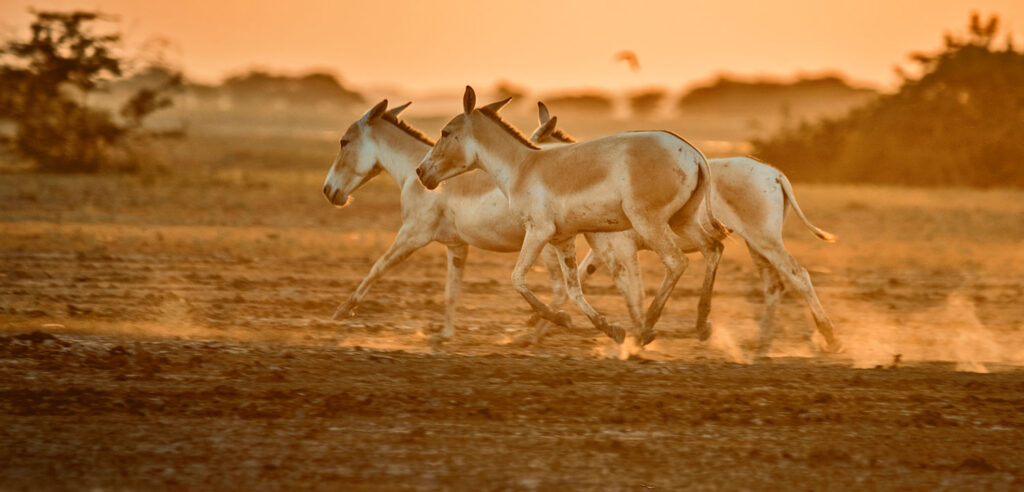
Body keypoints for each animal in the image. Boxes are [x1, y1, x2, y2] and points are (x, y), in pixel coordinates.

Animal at [417, 86, 729, 344]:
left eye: (445, 132)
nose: (421, 172)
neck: (522, 168)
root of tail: (693, 152)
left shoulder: (538, 231)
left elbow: (517, 278)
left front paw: (559, 319)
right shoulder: (562, 238)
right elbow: (572, 288)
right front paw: (609, 328)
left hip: (649, 221)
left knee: (677, 262)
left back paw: (648, 326)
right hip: (682, 219)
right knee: (712, 247)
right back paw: (701, 324)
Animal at [532, 103, 843, 352]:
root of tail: (776, 174)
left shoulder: (621, 248)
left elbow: (630, 288)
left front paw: (638, 334)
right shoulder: (604, 250)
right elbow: (580, 281)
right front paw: (538, 328)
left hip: (764, 239)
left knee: (798, 275)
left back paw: (829, 338)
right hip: (756, 242)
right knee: (774, 285)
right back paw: (761, 345)